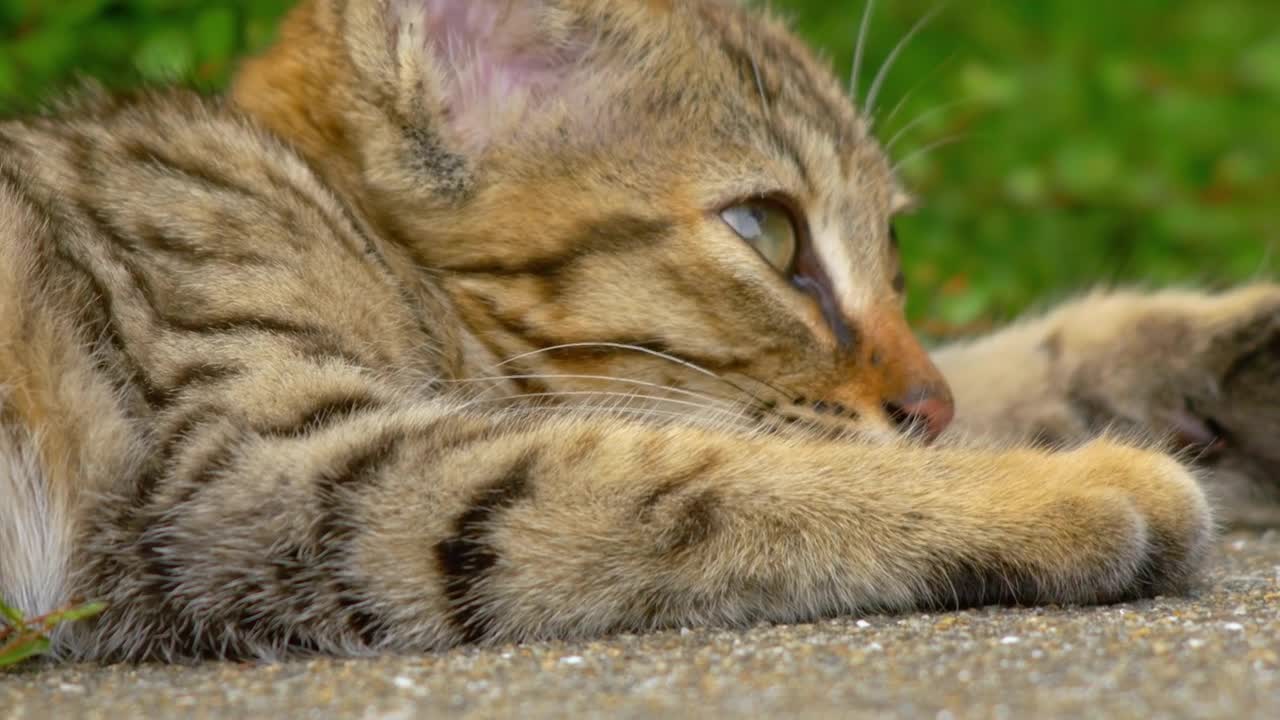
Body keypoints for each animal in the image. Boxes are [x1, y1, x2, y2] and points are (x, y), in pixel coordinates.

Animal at [0, 1, 1274, 661]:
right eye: (765, 230)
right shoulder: (261, 472)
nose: (927, 406)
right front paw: (1058, 487)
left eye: (896, 256)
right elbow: (714, 472)